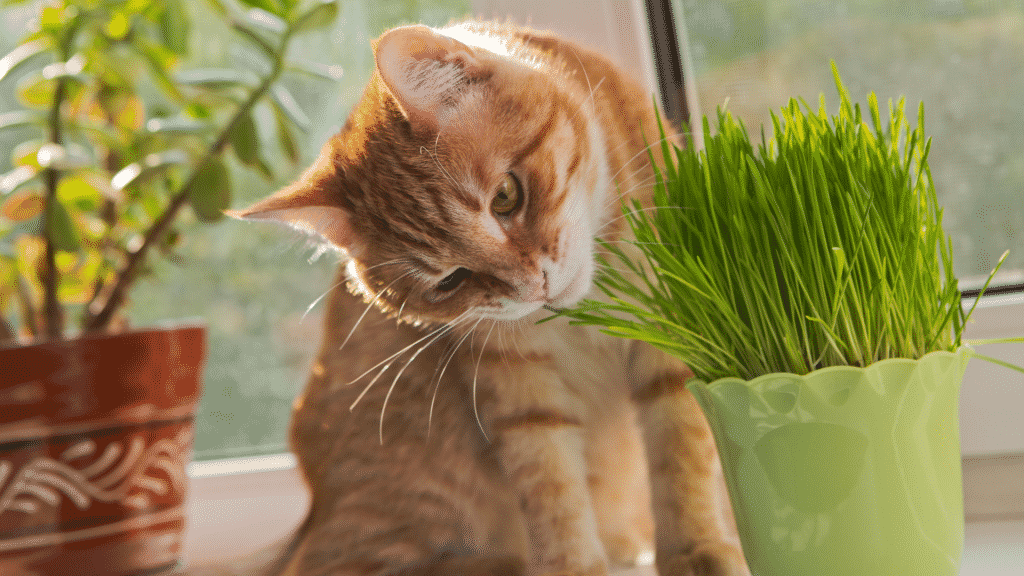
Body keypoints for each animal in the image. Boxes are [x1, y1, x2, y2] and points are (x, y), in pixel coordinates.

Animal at [220, 19, 749, 573]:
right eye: (450, 281)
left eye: (505, 197)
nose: (533, 286)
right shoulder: (517, 387)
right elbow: (552, 491)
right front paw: (575, 564)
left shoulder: (674, 330)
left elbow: (681, 455)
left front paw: (698, 549)